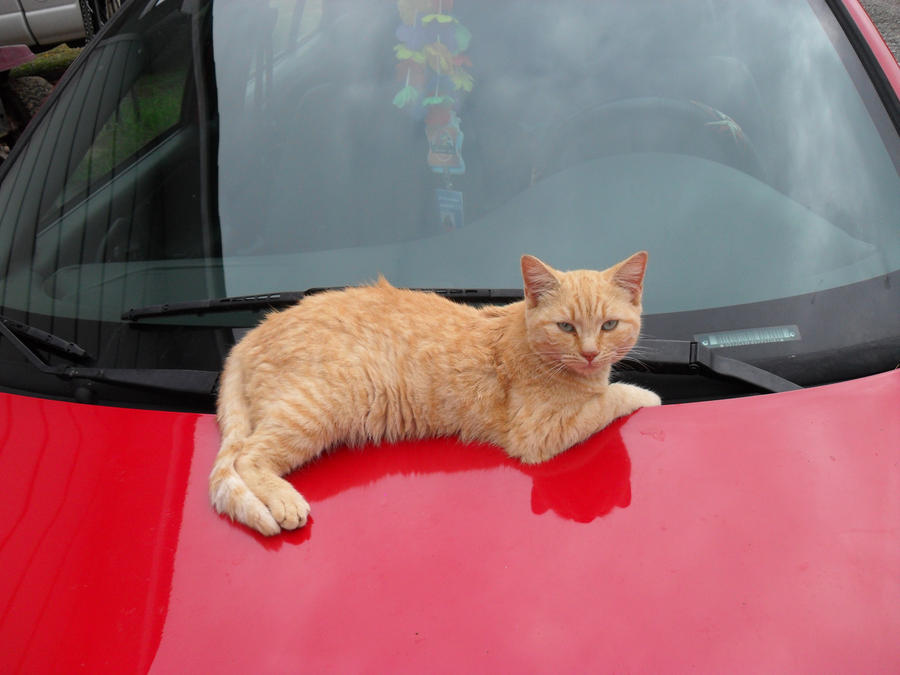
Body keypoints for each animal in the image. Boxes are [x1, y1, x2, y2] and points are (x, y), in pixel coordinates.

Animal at [211, 251, 660, 536]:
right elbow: (611, 399)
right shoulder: (539, 433)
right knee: (246, 457)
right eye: (566, 327)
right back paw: (284, 502)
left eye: (609, 325)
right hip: (315, 407)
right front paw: (645, 396)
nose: (590, 353)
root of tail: (251, 334)